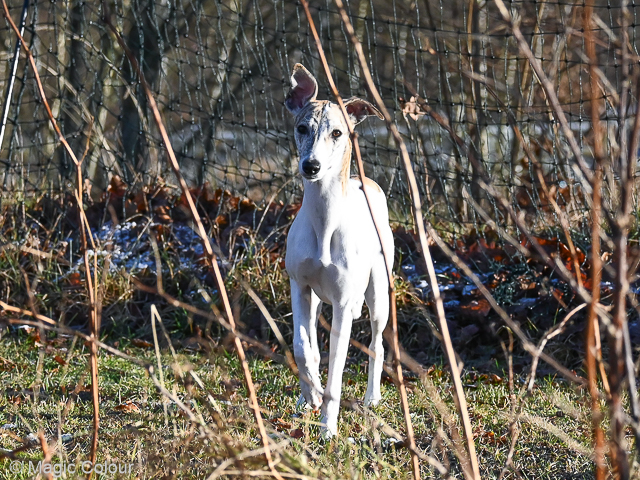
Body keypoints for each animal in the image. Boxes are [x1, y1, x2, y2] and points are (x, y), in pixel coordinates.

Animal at [284, 64, 392, 438]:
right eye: (302, 128)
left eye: (337, 133)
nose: (311, 167)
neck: (325, 218)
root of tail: (367, 182)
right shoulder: (300, 287)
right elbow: (304, 349)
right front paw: (310, 396)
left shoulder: (345, 305)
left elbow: (337, 369)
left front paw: (328, 427)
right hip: (317, 300)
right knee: (313, 346)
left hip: (379, 294)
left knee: (377, 343)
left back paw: (372, 398)